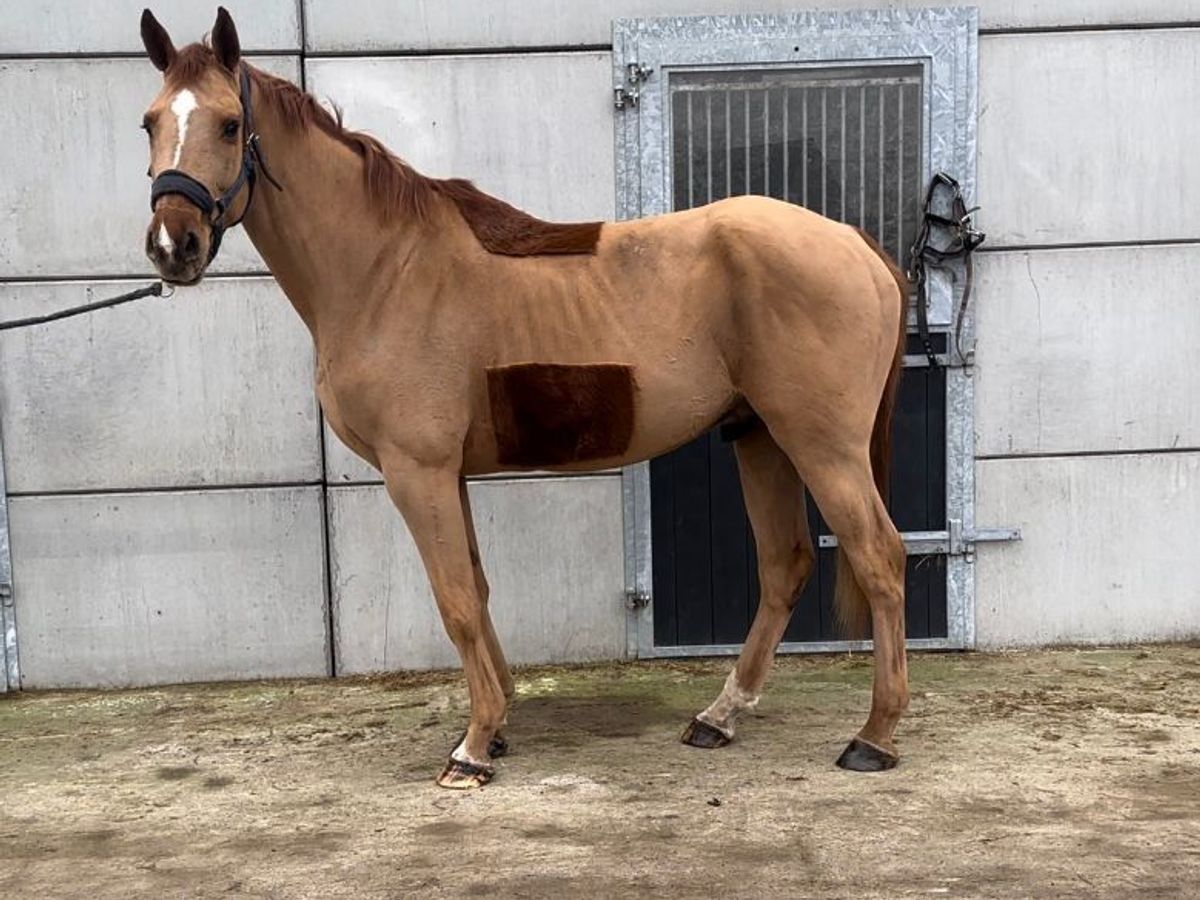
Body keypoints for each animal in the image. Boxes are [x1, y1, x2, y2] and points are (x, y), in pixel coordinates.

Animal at [138, 7, 910, 789]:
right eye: (149, 123)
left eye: (230, 124)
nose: (174, 245)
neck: (386, 269)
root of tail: (854, 242)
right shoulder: (450, 475)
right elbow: (476, 591)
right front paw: (498, 722)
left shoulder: (418, 472)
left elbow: (453, 602)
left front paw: (473, 748)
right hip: (759, 435)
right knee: (786, 565)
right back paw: (718, 718)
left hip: (822, 444)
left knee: (879, 557)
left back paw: (874, 735)